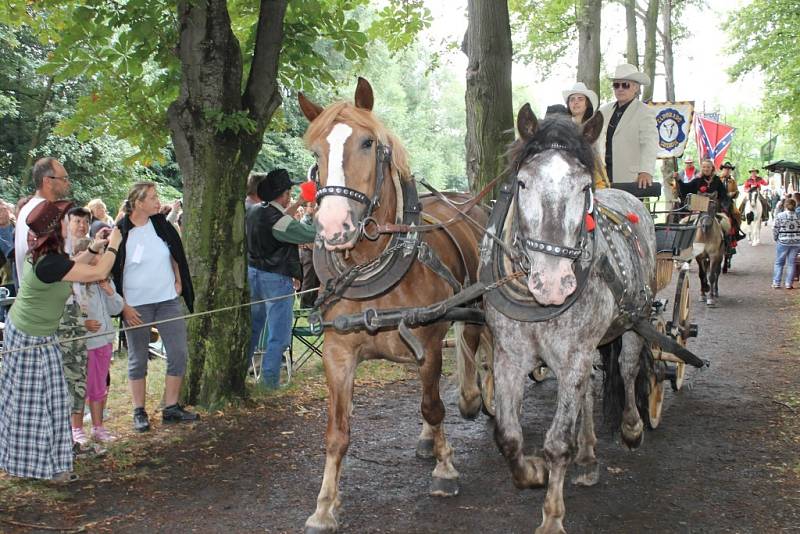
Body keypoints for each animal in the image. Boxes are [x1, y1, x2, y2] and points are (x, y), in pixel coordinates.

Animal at [298, 77, 490, 532]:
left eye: (368, 143)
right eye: (317, 152)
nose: (332, 226)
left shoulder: (429, 344)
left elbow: (433, 406)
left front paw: (445, 470)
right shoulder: (337, 353)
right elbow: (337, 433)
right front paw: (325, 506)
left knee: (479, 350)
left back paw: (477, 399)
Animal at [482, 107, 656, 532]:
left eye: (583, 188)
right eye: (522, 182)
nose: (553, 283)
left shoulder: (575, 352)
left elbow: (557, 442)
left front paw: (552, 516)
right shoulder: (509, 357)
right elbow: (507, 435)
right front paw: (532, 472)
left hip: (635, 319)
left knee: (627, 370)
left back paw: (630, 428)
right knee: (587, 393)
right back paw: (589, 456)